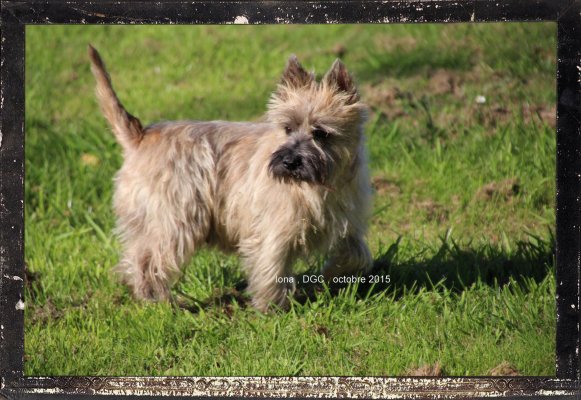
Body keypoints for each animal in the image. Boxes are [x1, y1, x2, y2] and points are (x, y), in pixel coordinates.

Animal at [90, 45, 372, 310]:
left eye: (321, 133)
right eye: (287, 128)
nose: (289, 161)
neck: (320, 186)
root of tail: (140, 137)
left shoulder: (348, 224)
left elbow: (358, 255)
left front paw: (331, 274)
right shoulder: (273, 231)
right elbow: (271, 266)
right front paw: (272, 308)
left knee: (134, 257)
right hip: (176, 221)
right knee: (150, 262)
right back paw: (160, 303)